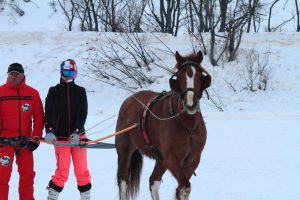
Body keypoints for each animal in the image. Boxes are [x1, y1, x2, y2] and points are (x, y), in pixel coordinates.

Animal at [115, 51, 211, 200]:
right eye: (179, 76)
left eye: (200, 75)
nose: (190, 104)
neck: (187, 125)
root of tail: (128, 100)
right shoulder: (171, 159)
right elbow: (184, 188)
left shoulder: (193, 159)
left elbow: (181, 189)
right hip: (124, 151)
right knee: (123, 182)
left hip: (160, 160)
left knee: (153, 181)